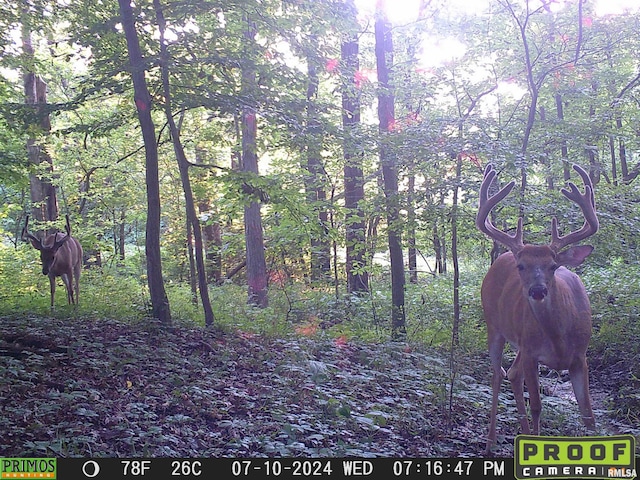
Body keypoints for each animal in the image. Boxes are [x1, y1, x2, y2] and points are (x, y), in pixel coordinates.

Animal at [476, 165, 600, 454]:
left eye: (553, 265)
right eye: (521, 266)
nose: (537, 291)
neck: (558, 336)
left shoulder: (581, 357)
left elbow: (588, 415)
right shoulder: (533, 354)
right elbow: (537, 406)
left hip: (521, 342)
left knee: (512, 373)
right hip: (494, 326)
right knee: (498, 374)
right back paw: (490, 442)